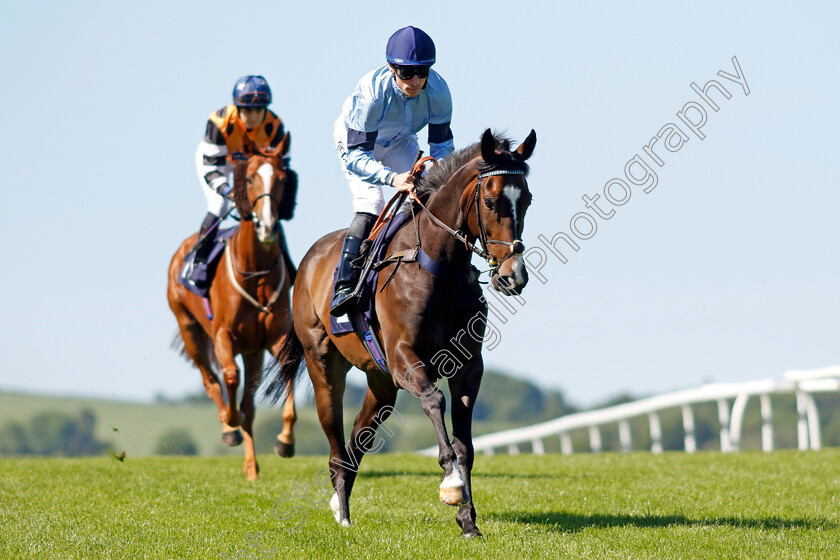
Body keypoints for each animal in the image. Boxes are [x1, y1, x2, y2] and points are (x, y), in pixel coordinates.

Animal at [166, 136, 296, 482]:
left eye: (282, 178)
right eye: (248, 179)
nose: (267, 227)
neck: (256, 272)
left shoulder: (273, 338)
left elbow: (286, 371)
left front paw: (285, 441)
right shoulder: (223, 334)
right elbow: (228, 376)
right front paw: (230, 420)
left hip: (252, 350)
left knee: (249, 406)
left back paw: (252, 467)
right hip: (190, 329)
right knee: (211, 381)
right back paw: (229, 426)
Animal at [266, 129, 536, 536]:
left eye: (528, 200)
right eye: (490, 201)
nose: (513, 276)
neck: (439, 268)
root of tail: (310, 259)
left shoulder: (467, 367)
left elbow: (465, 445)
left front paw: (468, 520)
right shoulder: (403, 357)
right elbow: (434, 402)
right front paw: (451, 486)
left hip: (381, 383)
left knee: (358, 438)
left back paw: (341, 502)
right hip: (326, 367)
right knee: (334, 440)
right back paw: (343, 513)